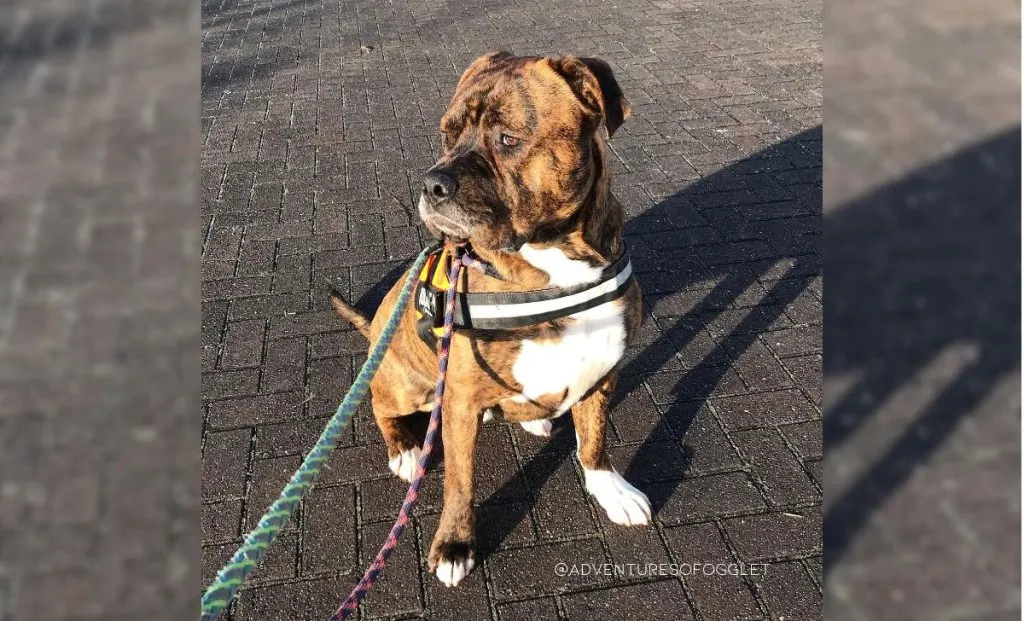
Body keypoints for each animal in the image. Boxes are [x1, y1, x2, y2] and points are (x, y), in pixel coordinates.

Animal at [329, 53, 647, 590]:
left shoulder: (604, 374)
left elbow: (594, 441)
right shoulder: (457, 404)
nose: (432, 183)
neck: (548, 271)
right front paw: (455, 543)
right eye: (447, 135)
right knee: (376, 404)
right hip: (405, 384)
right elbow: (461, 482)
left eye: (508, 139)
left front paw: (610, 488)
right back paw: (405, 449)